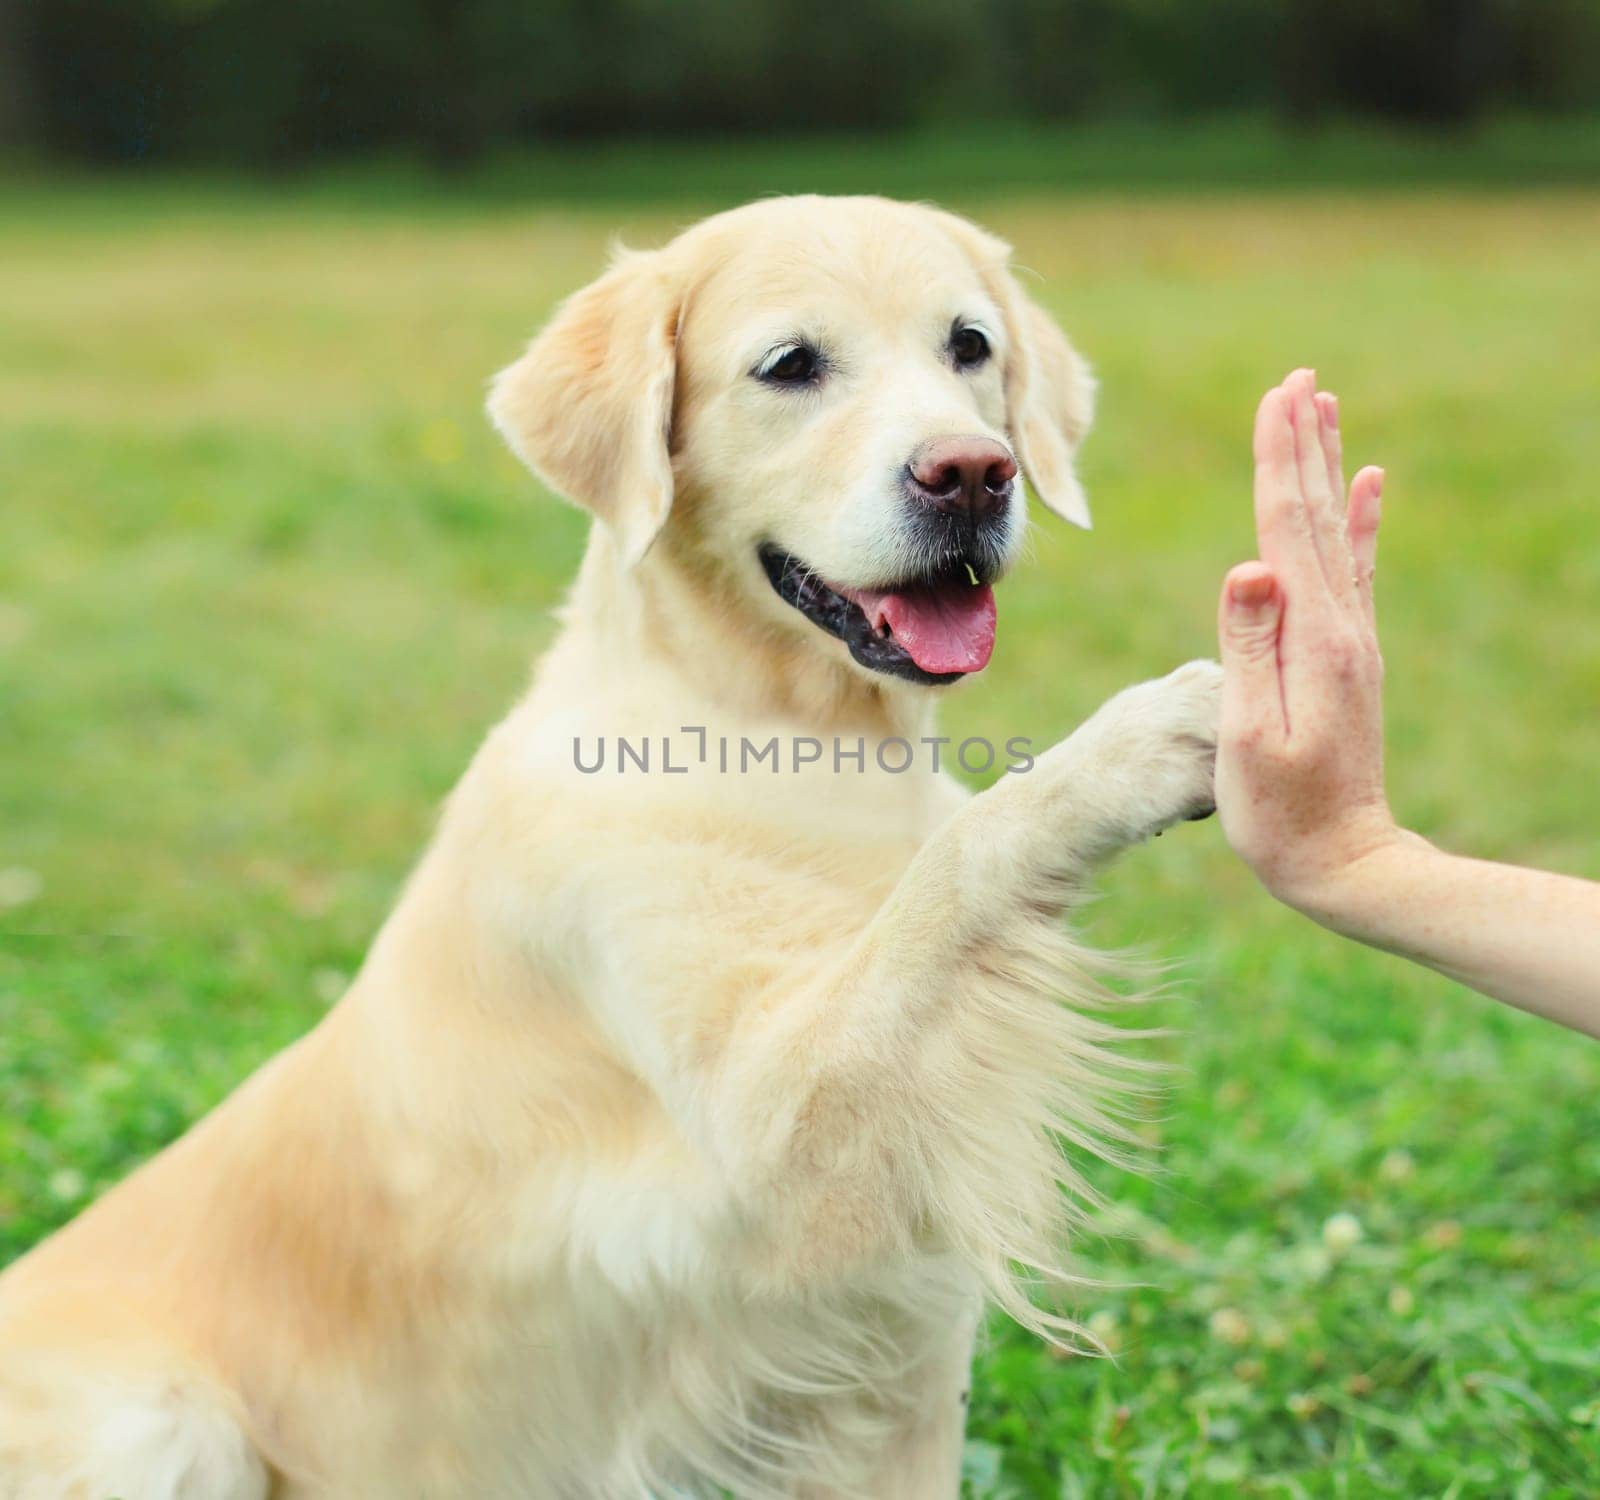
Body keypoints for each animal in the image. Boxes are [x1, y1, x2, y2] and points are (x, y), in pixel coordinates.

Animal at [0, 199, 1209, 1496]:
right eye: (791, 365)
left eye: (969, 347)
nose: (973, 471)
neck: (789, 734)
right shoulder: (766, 1129)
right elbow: (955, 871)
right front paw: (1146, 738)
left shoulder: (905, 1374)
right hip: (164, 1423)